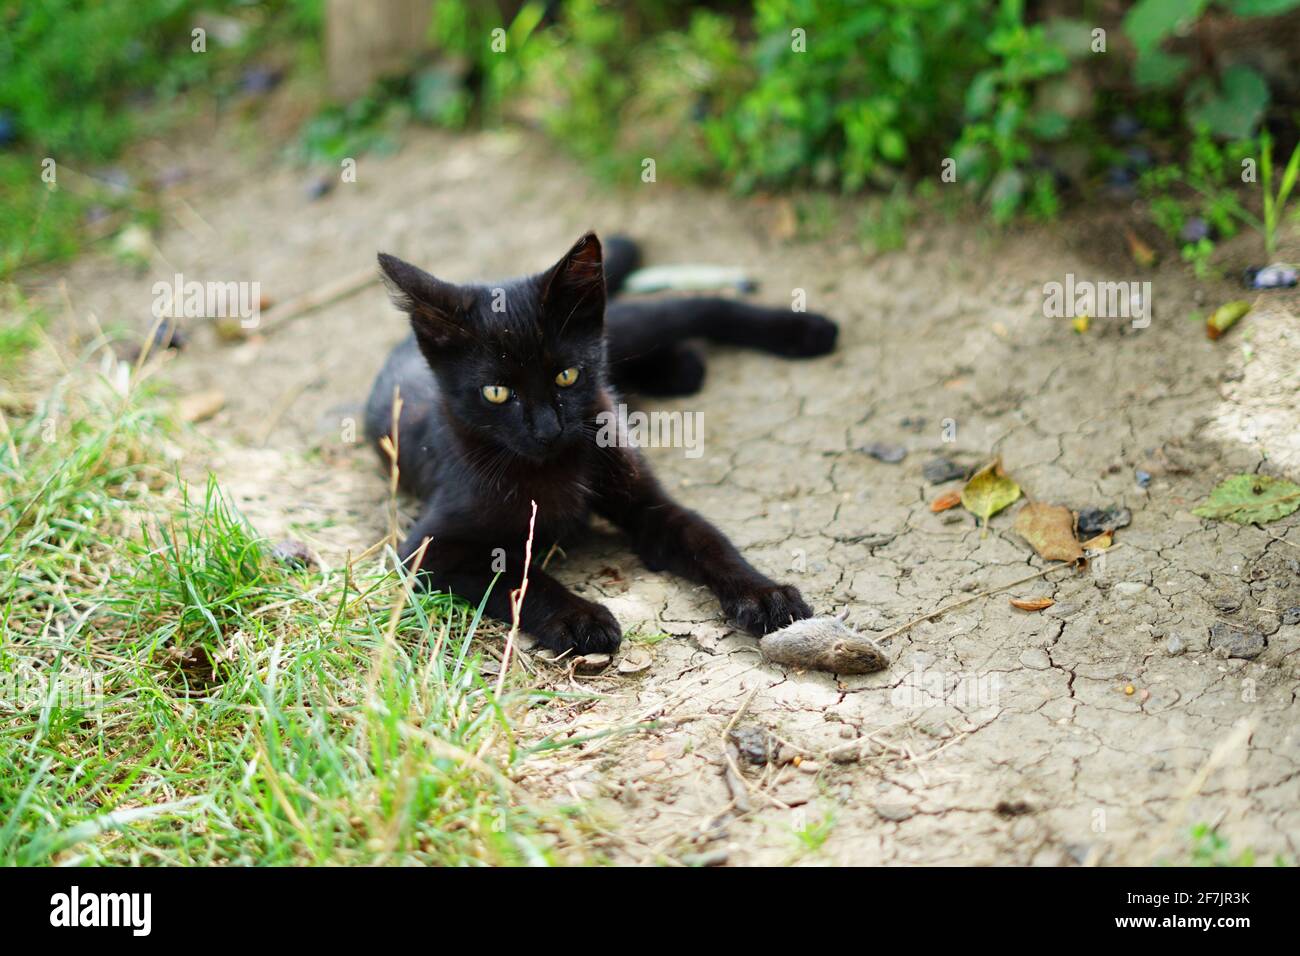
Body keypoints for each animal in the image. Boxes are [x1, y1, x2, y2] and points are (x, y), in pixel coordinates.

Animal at [361, 234, 837, 650]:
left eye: (566, 375)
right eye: (496, 393)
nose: (547, 429)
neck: (550, 467)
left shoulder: (648, 503)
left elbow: (708, 541)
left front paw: (764, 594)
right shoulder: (427, 550)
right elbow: (517, 577)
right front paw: (579, 618)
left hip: (627, 326)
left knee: (700, 307)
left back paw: (805, 330)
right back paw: (683, 365)